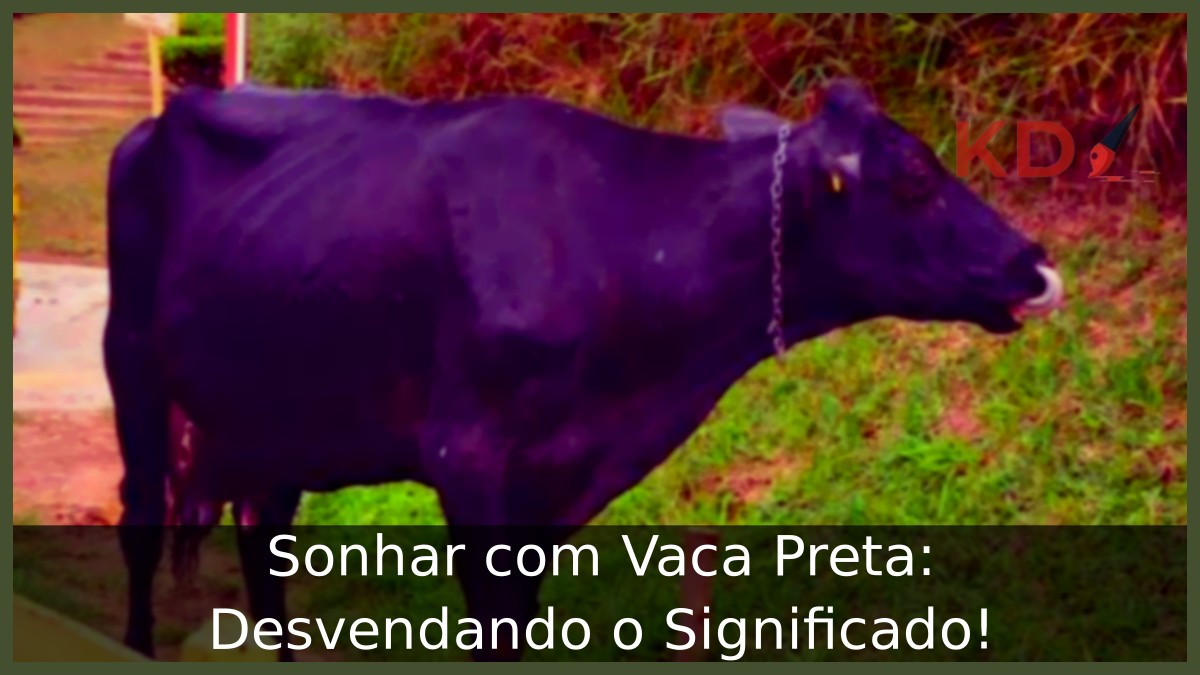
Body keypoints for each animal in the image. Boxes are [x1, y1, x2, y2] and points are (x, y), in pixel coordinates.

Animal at [103, 79, 1063, 661]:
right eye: (913, 180)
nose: (1037, 265)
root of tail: (167, 111)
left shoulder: (555, 478)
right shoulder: (469, 455)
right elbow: (495, 623)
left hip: (279, 415)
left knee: (261, 535)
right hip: (133, 366)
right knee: (142, 520)